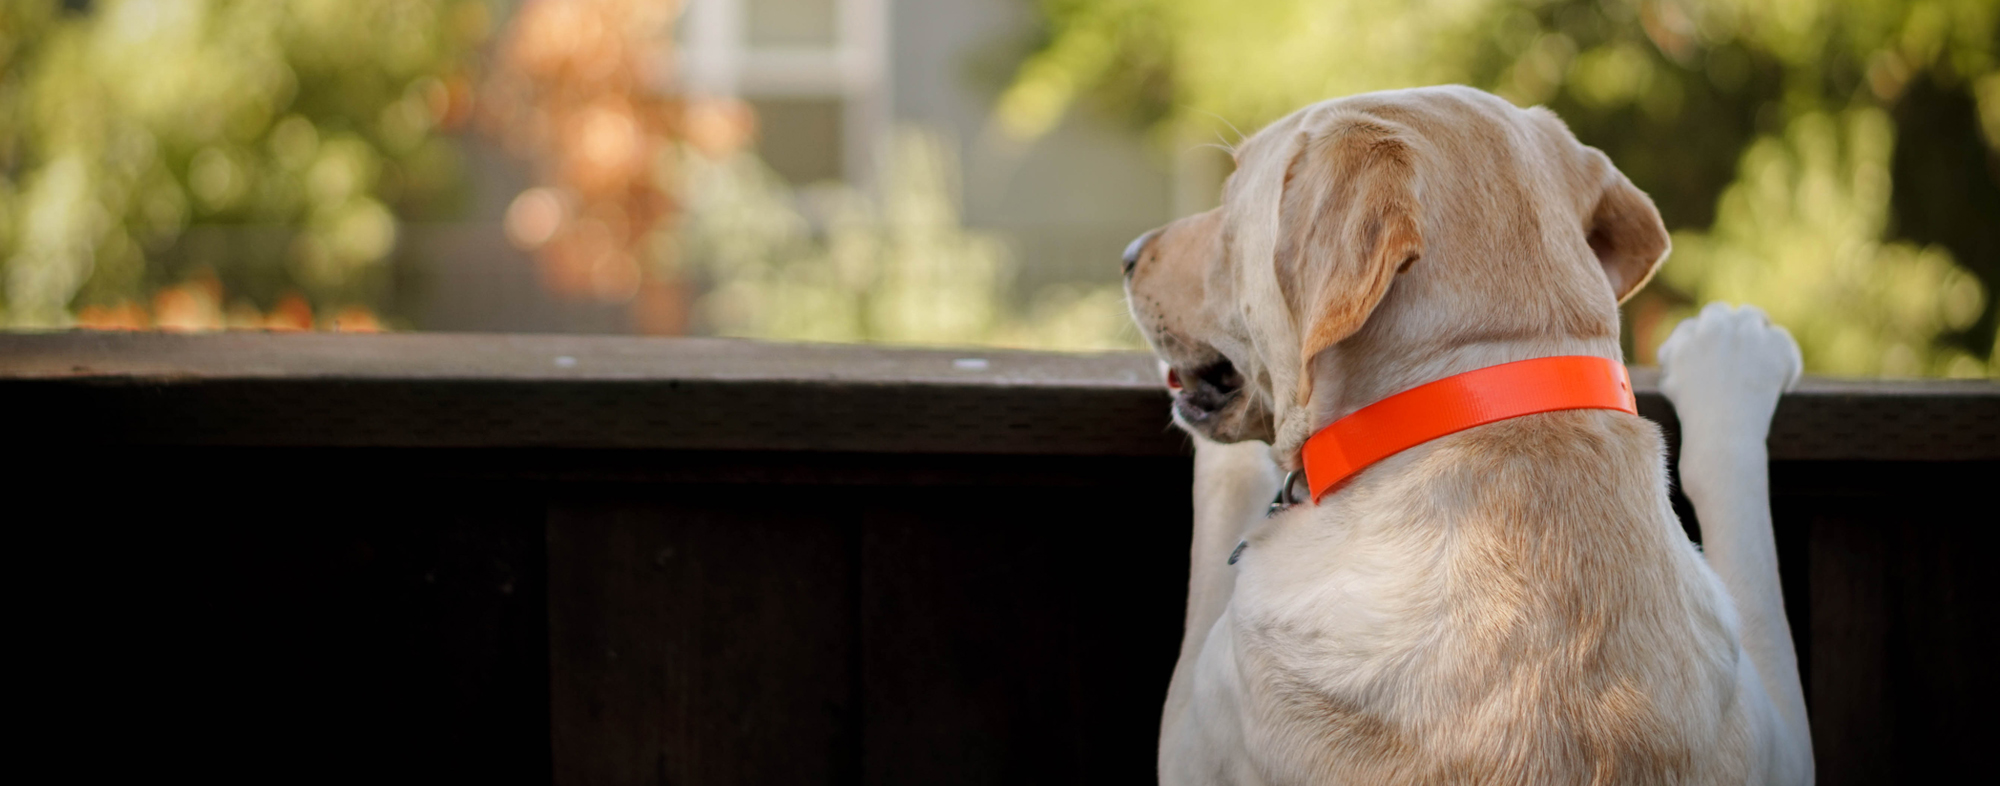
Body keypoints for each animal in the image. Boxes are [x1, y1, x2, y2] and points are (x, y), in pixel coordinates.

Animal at [1128, 82, 1816, 780]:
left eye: (1231, 194)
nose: (1128, 256)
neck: (1478, 393)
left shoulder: (1195, 720)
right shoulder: (1783, 740)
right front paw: (1733, 356)